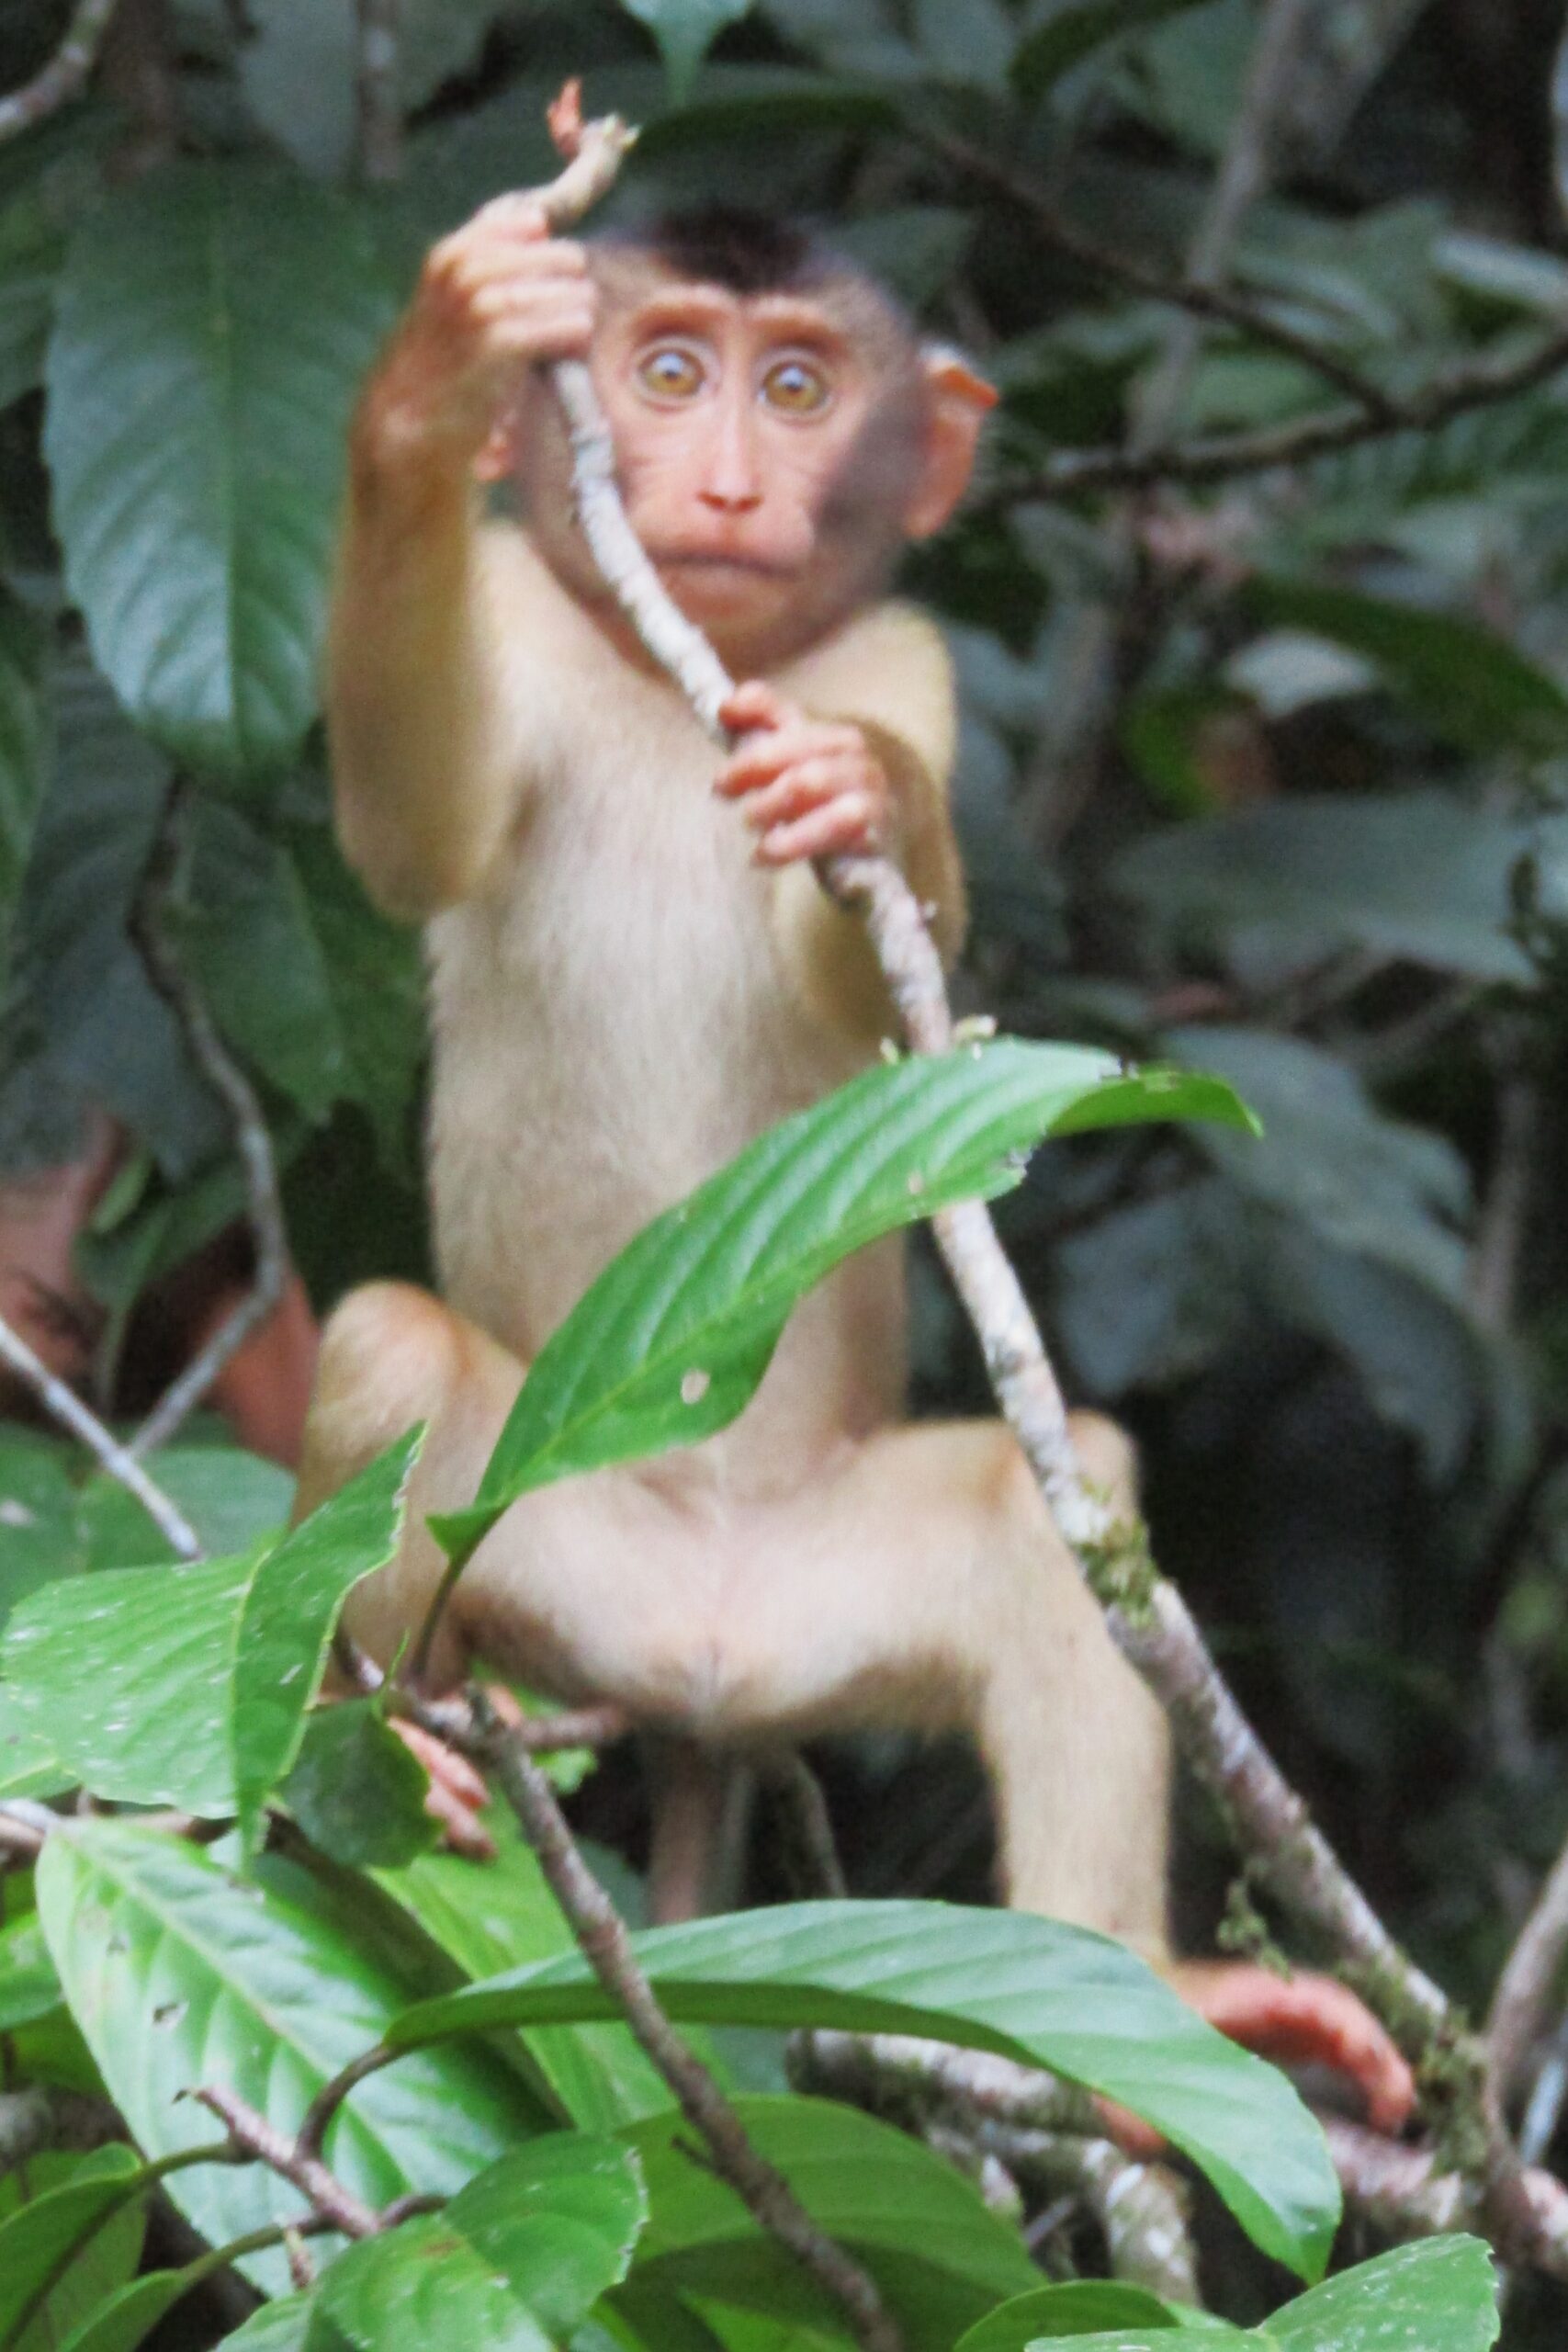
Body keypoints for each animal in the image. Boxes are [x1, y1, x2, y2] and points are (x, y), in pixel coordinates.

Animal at [300, 202, 1419, 2144]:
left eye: (801, 390)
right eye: (670, 370)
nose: (731, 486)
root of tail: (695, 1670)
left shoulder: (906, 655)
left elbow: (888, 965)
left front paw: (868, 800)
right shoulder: (511, 611)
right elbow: (409, 824)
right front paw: (440, 378)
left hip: (822, 1599)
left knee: (1062, 1509)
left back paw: (1156, 2014)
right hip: (531, 1554)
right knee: (388, 1348)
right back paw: (404, 1756)